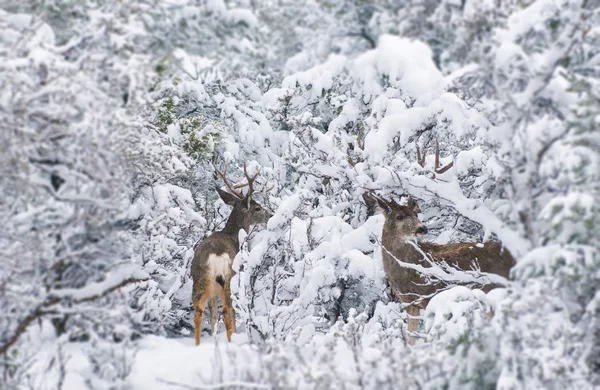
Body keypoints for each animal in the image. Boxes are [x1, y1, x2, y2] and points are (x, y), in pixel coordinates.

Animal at [192, 163, 272, 346]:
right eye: (257, 207)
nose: (271, 215)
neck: (233, 235)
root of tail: (216, 254)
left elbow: (213, 316)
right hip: (229, 278)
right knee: (228, 310)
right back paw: (232, 340)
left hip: (201, 278)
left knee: (199, 309)